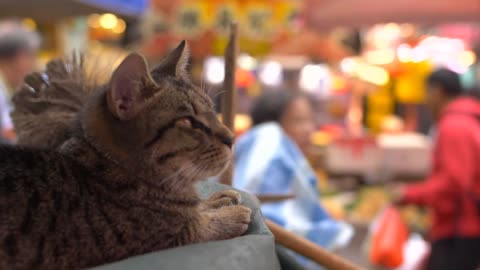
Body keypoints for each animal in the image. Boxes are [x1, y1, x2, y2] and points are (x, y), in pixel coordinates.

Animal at [0, 41, 253, 268]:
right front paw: (228, 216)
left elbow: (197, 209)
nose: (232, 138)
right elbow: (199, 227)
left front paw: (214, 201)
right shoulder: (166, 239)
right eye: (189, 121)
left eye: (212, 110)